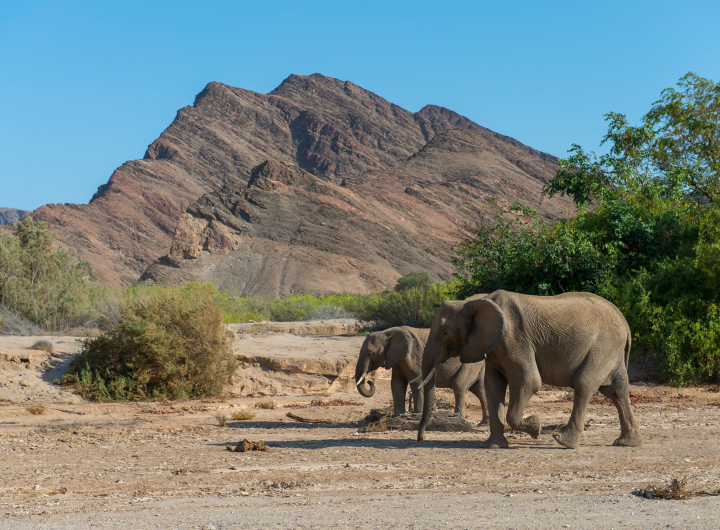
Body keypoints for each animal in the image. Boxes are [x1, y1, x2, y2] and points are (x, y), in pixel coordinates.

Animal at [354, 322, 490, 420]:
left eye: (370, 353)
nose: (370, 382)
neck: (386, 333)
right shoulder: (397, 359)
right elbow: (397, 385)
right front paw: (398, 417)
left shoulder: (413, 356)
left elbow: (416, 383)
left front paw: (416, 415)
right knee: (480, 390)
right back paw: (483, 424)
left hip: (469, 364)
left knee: (459, 386)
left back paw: (458, 418)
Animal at [416, 288, 640, 446]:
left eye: (445, 333)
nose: (420, 439)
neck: (474, 302)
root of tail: (626, 324)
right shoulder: (495, 346)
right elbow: (493, 385)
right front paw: (493, 446)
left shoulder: (514, 340)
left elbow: (529, 381)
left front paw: (536, 427)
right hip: (611, 351)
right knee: (616, 390)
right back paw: (626, 443)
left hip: (603, 346)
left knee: (584, 384)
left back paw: (564, 441)